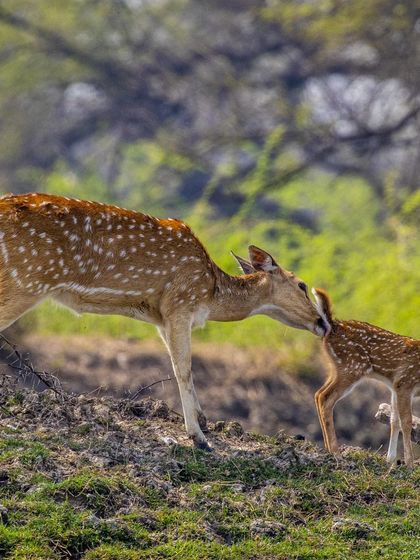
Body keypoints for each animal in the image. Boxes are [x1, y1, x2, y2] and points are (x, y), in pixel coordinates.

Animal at [0, 193, 328, 449]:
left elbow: (178, 364)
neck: (210, 292)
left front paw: (204, 422)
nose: (323, 323)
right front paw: (198, 438)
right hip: (26, 281)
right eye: (301, 285)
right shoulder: (180, 304)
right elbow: (183, 367)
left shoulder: (161, 317)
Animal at [312, 288, 419, 468]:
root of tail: (333, 326)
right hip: (351, 367)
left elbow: (394, 421)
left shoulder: (394, 385)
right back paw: (335, 451)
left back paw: (328, 448)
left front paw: (391, 460)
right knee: (325, 397)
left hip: (337, 368)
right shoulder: (405, 382)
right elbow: (406, 422)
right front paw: (410, 464)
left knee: (318, 393)